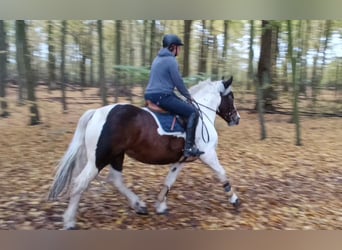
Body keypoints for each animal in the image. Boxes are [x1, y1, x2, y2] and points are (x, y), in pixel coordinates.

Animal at [48, 76, 240, 229]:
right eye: (231, 96)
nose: (236, 118)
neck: (202, 115)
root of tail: (96, 112)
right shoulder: (208, 154)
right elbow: (222, 174)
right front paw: (234, 200)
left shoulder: (180, 160)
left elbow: (169, 181)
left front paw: (161, 205)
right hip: (99, 159)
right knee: (80, 183)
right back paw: (69, 221)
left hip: (116, 155)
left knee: (115, 180)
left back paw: (139, 205)